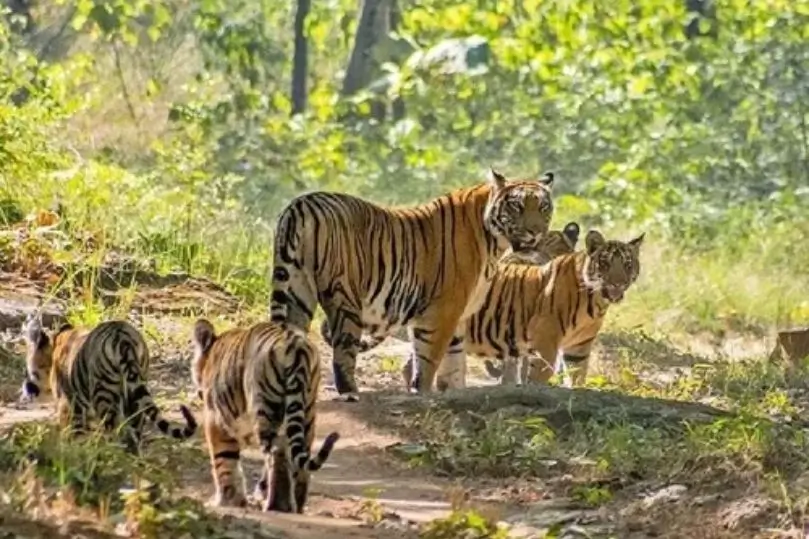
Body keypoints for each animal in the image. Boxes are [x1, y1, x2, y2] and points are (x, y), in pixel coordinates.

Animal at [20, 316, 197, 452]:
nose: (25, 388)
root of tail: (123, 337)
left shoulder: (68, 405)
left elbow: (72, 433)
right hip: (134, 392)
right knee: (135, 428)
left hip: (104, 394)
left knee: (111, 428)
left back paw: (110, 452)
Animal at [191, 319, 340, 513]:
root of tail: (295, 345)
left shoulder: (216, 419)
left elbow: (224, 460)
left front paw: (227, 501)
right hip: (307, 411)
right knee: (299, 456)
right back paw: (297, 505)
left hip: (265, 409)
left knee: (277, 452)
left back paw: (277, 505)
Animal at [401, 229, 645, 389]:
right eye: (605, 263)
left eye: (627, 264)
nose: (618, 283)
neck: (596, 301)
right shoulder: (546, 340)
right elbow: (540, 375)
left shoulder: (579, 347)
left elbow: (577, 376)